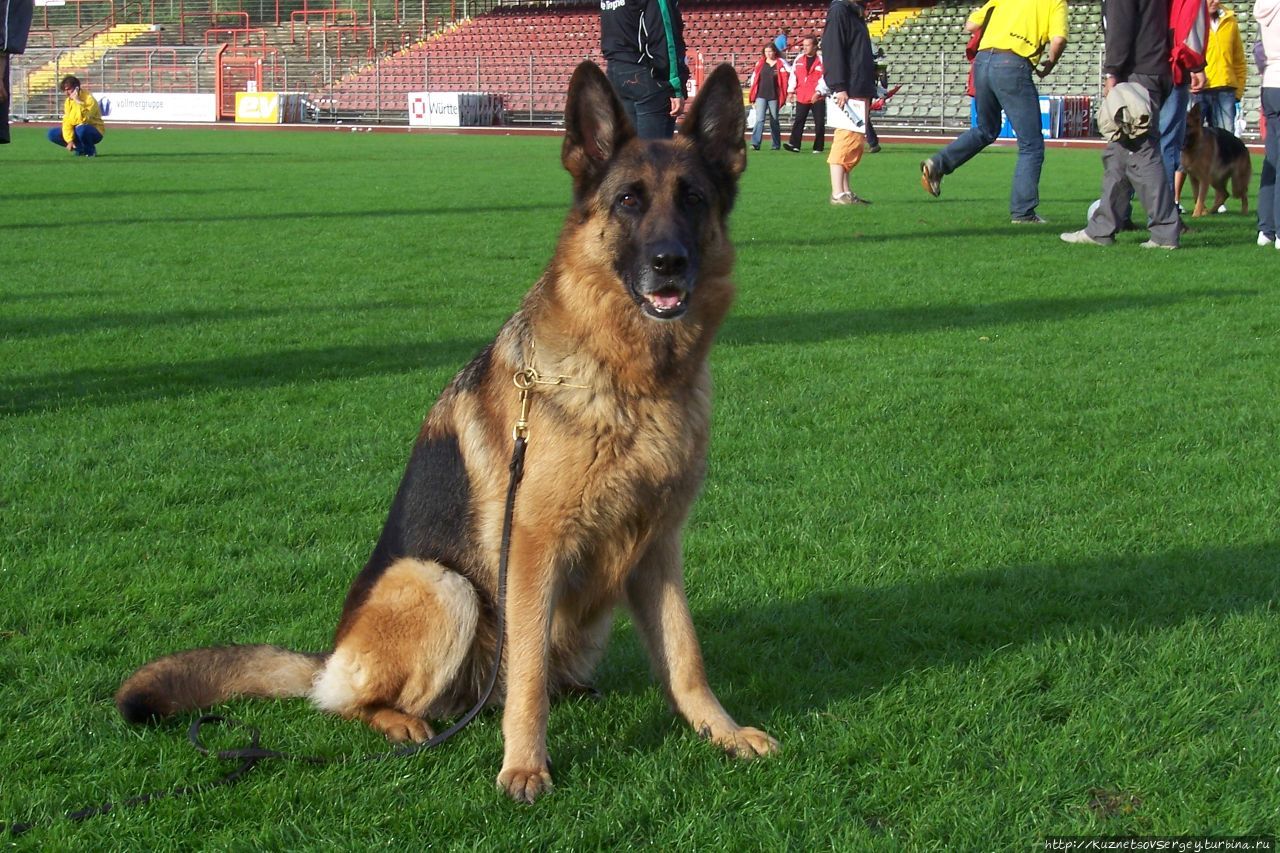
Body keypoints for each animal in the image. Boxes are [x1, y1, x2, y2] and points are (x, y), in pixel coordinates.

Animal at [115, 63, 778, 799]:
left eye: (693, 200)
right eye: (629, 201)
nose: (669, 263)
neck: (634, 381)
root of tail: (331, 653)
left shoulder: (657, 547)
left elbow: (685, 653)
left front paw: (720, 730)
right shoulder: (534, 550)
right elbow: (527, 678)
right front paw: (525, 764)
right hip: (442, 585)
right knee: (354, 700)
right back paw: (401, 721)